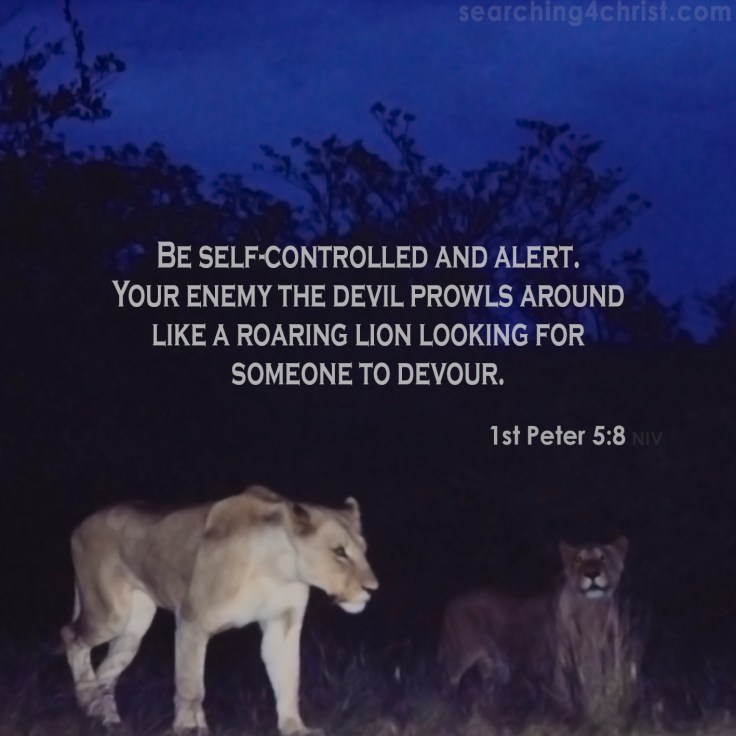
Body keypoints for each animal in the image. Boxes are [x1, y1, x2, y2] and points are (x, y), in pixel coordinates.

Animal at [61, 485, 379, 736]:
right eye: (339, 552)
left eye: (364, 550)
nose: (373, 588)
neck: (279, 571)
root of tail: (81, 524)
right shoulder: (191, 621)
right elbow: (191, 685)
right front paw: (189, 728)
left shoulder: (282, 626)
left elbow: (288, 679)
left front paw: (295, 728)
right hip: (110, 614)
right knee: (71, 636)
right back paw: (88, 702)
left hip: (133, 628)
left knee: (106, 671)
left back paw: (106, 719)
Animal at [439, 537, 635, 722]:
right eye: (578, 559)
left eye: (603, 557)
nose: (592, 573)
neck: (592, 611)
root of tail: (451, 603)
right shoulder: (559, 666)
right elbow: (565, 698)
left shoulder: (608, 659)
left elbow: (599, 689)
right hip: (459, 658)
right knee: (448, 687)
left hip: (496, 669)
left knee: (484, 696)